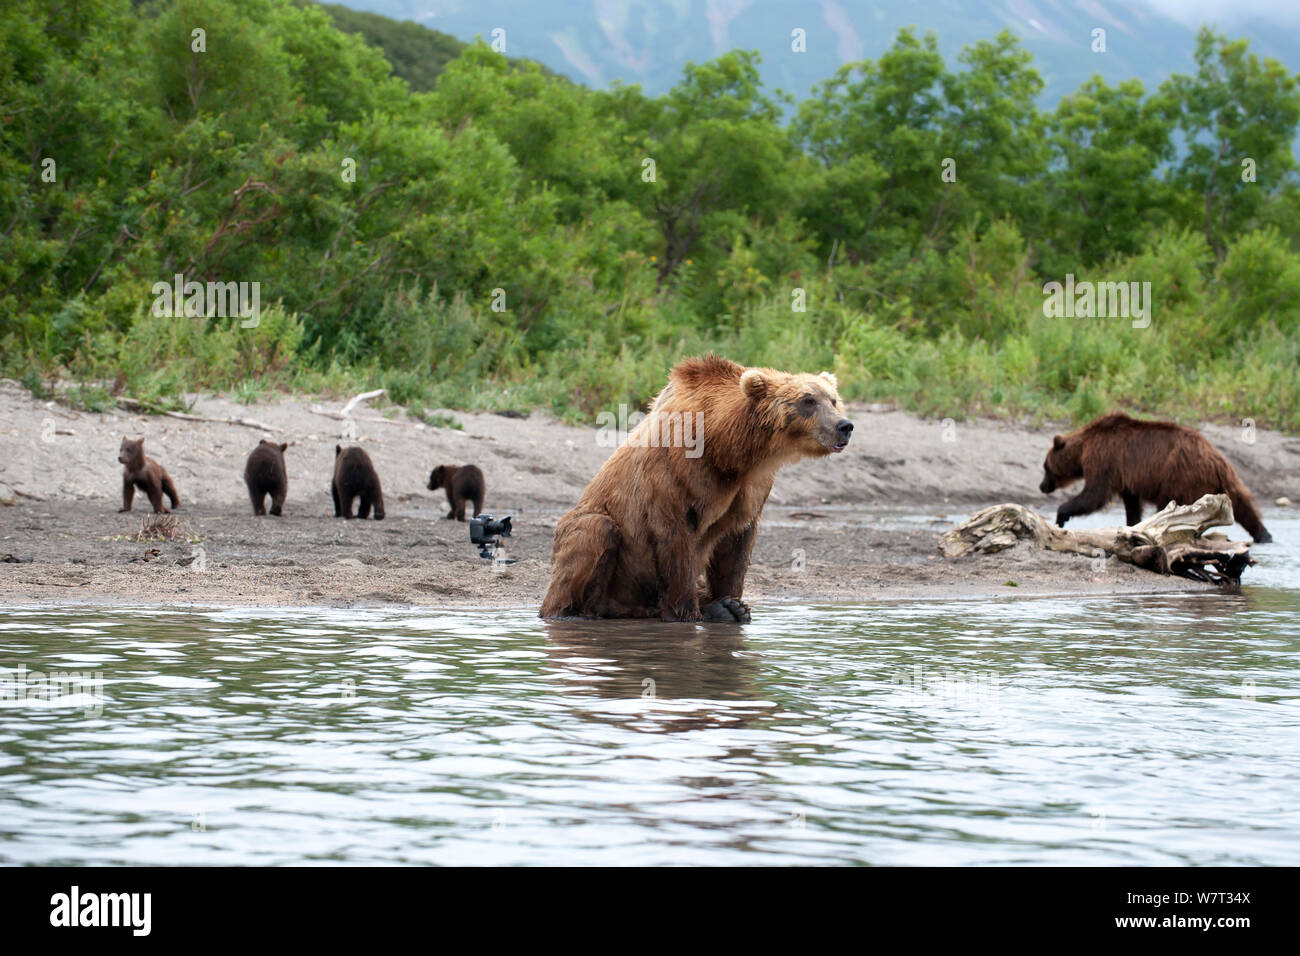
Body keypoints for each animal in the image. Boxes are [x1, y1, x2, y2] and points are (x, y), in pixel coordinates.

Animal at [538, 356, 852, 624]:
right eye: (808, 400)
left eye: (833, 399)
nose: (844, 426)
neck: (728, 449)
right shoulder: (676, 473)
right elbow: (674, 538)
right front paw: (686, 614)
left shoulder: (752, 488)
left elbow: (736, 544)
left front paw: (734, 604)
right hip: (591, 540)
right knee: (593, 533)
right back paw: (574, 612)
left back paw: (718, 608)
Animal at [1040, 413, 1274, 546]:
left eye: (1045, 466)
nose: (1042, 486)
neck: (1082, 450)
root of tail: (1214, 459)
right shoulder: (1127, 478)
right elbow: (1132, 504)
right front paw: (1132, 525)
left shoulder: (1105, 459)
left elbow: (1094, 494)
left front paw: (1061, 515)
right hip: (1225, 477)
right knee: (1243, 504)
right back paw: (1264, 535)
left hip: (1180, 475)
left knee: (1169, 506)